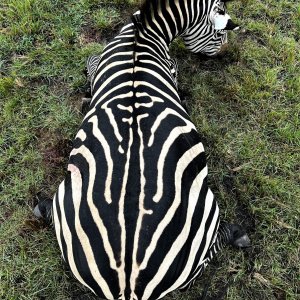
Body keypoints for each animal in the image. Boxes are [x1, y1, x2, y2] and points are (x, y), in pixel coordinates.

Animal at [34, 0, 251, 300]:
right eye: (220, 35)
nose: (222, 55)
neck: (143, 32)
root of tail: (128, 282)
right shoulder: (167, 65)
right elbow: (91, 65)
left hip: (65, 197)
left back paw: (40, 207)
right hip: (208, 209)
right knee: (216, 243)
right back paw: (239, 234)